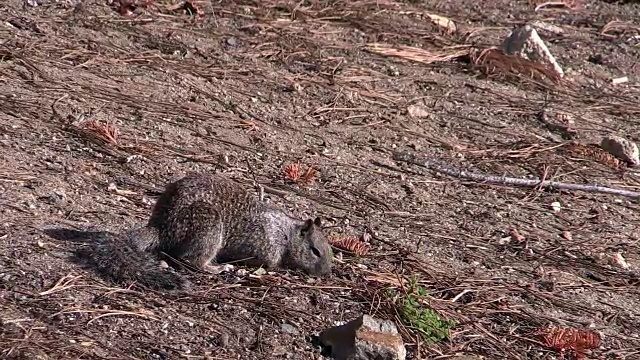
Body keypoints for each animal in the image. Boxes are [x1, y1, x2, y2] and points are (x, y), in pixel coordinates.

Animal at [80, 173, 332, 292]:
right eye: (315, 251)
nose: (327, 273)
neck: (286, 233)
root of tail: (160, 228)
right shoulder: (266, 245)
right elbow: (268, 262)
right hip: (208, 226)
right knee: (190, 260)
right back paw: (217, 268)